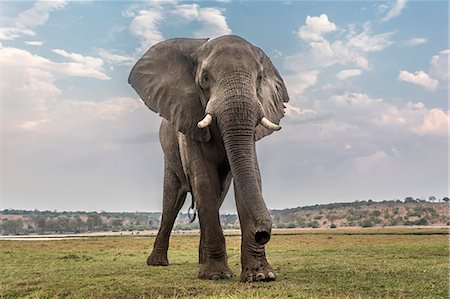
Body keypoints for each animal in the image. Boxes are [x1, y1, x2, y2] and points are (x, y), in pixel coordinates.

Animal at [127, 35, 288, 284]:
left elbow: (249, 179)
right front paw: (216, 275)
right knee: (172, 202)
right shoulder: (189, 120)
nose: (262, 234)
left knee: (217, 195)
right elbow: (203, 180)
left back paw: (201, 261)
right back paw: (158, 263)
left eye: (260, 78)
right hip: (169, 156)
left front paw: (261, 276)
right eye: (204, 78)